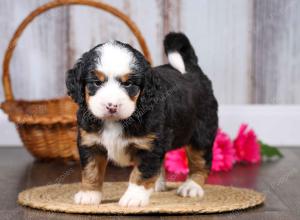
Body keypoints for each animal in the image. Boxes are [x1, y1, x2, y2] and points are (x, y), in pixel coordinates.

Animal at [66, 32, 218, 206]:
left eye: (128, 84)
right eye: (97, 83)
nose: (112, 106)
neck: (115, 121)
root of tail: (192, 69)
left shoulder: (149, 146)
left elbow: (141, 173)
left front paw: (134, 197)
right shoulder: (91, 143)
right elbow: (91, 170)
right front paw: (89, 194)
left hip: (202, 133)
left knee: (200, 162)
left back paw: (191, 187)